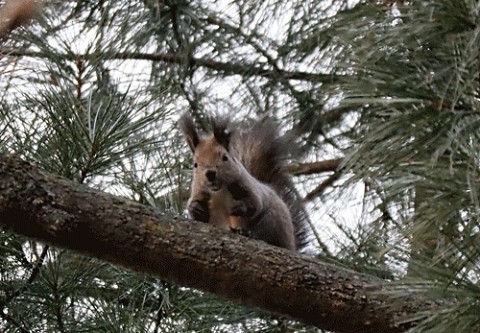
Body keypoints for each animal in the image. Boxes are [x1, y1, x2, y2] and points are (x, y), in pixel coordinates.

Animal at [178, 113, 310, 250]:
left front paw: (239, 207)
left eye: (225, 157)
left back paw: (247, 233)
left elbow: (255, 203)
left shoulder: (250, 187)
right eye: (195, 164)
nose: (210, 174)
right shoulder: (199, 191)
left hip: (271, 220)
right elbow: (199, 215)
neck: (220, 191)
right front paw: (195, 208)